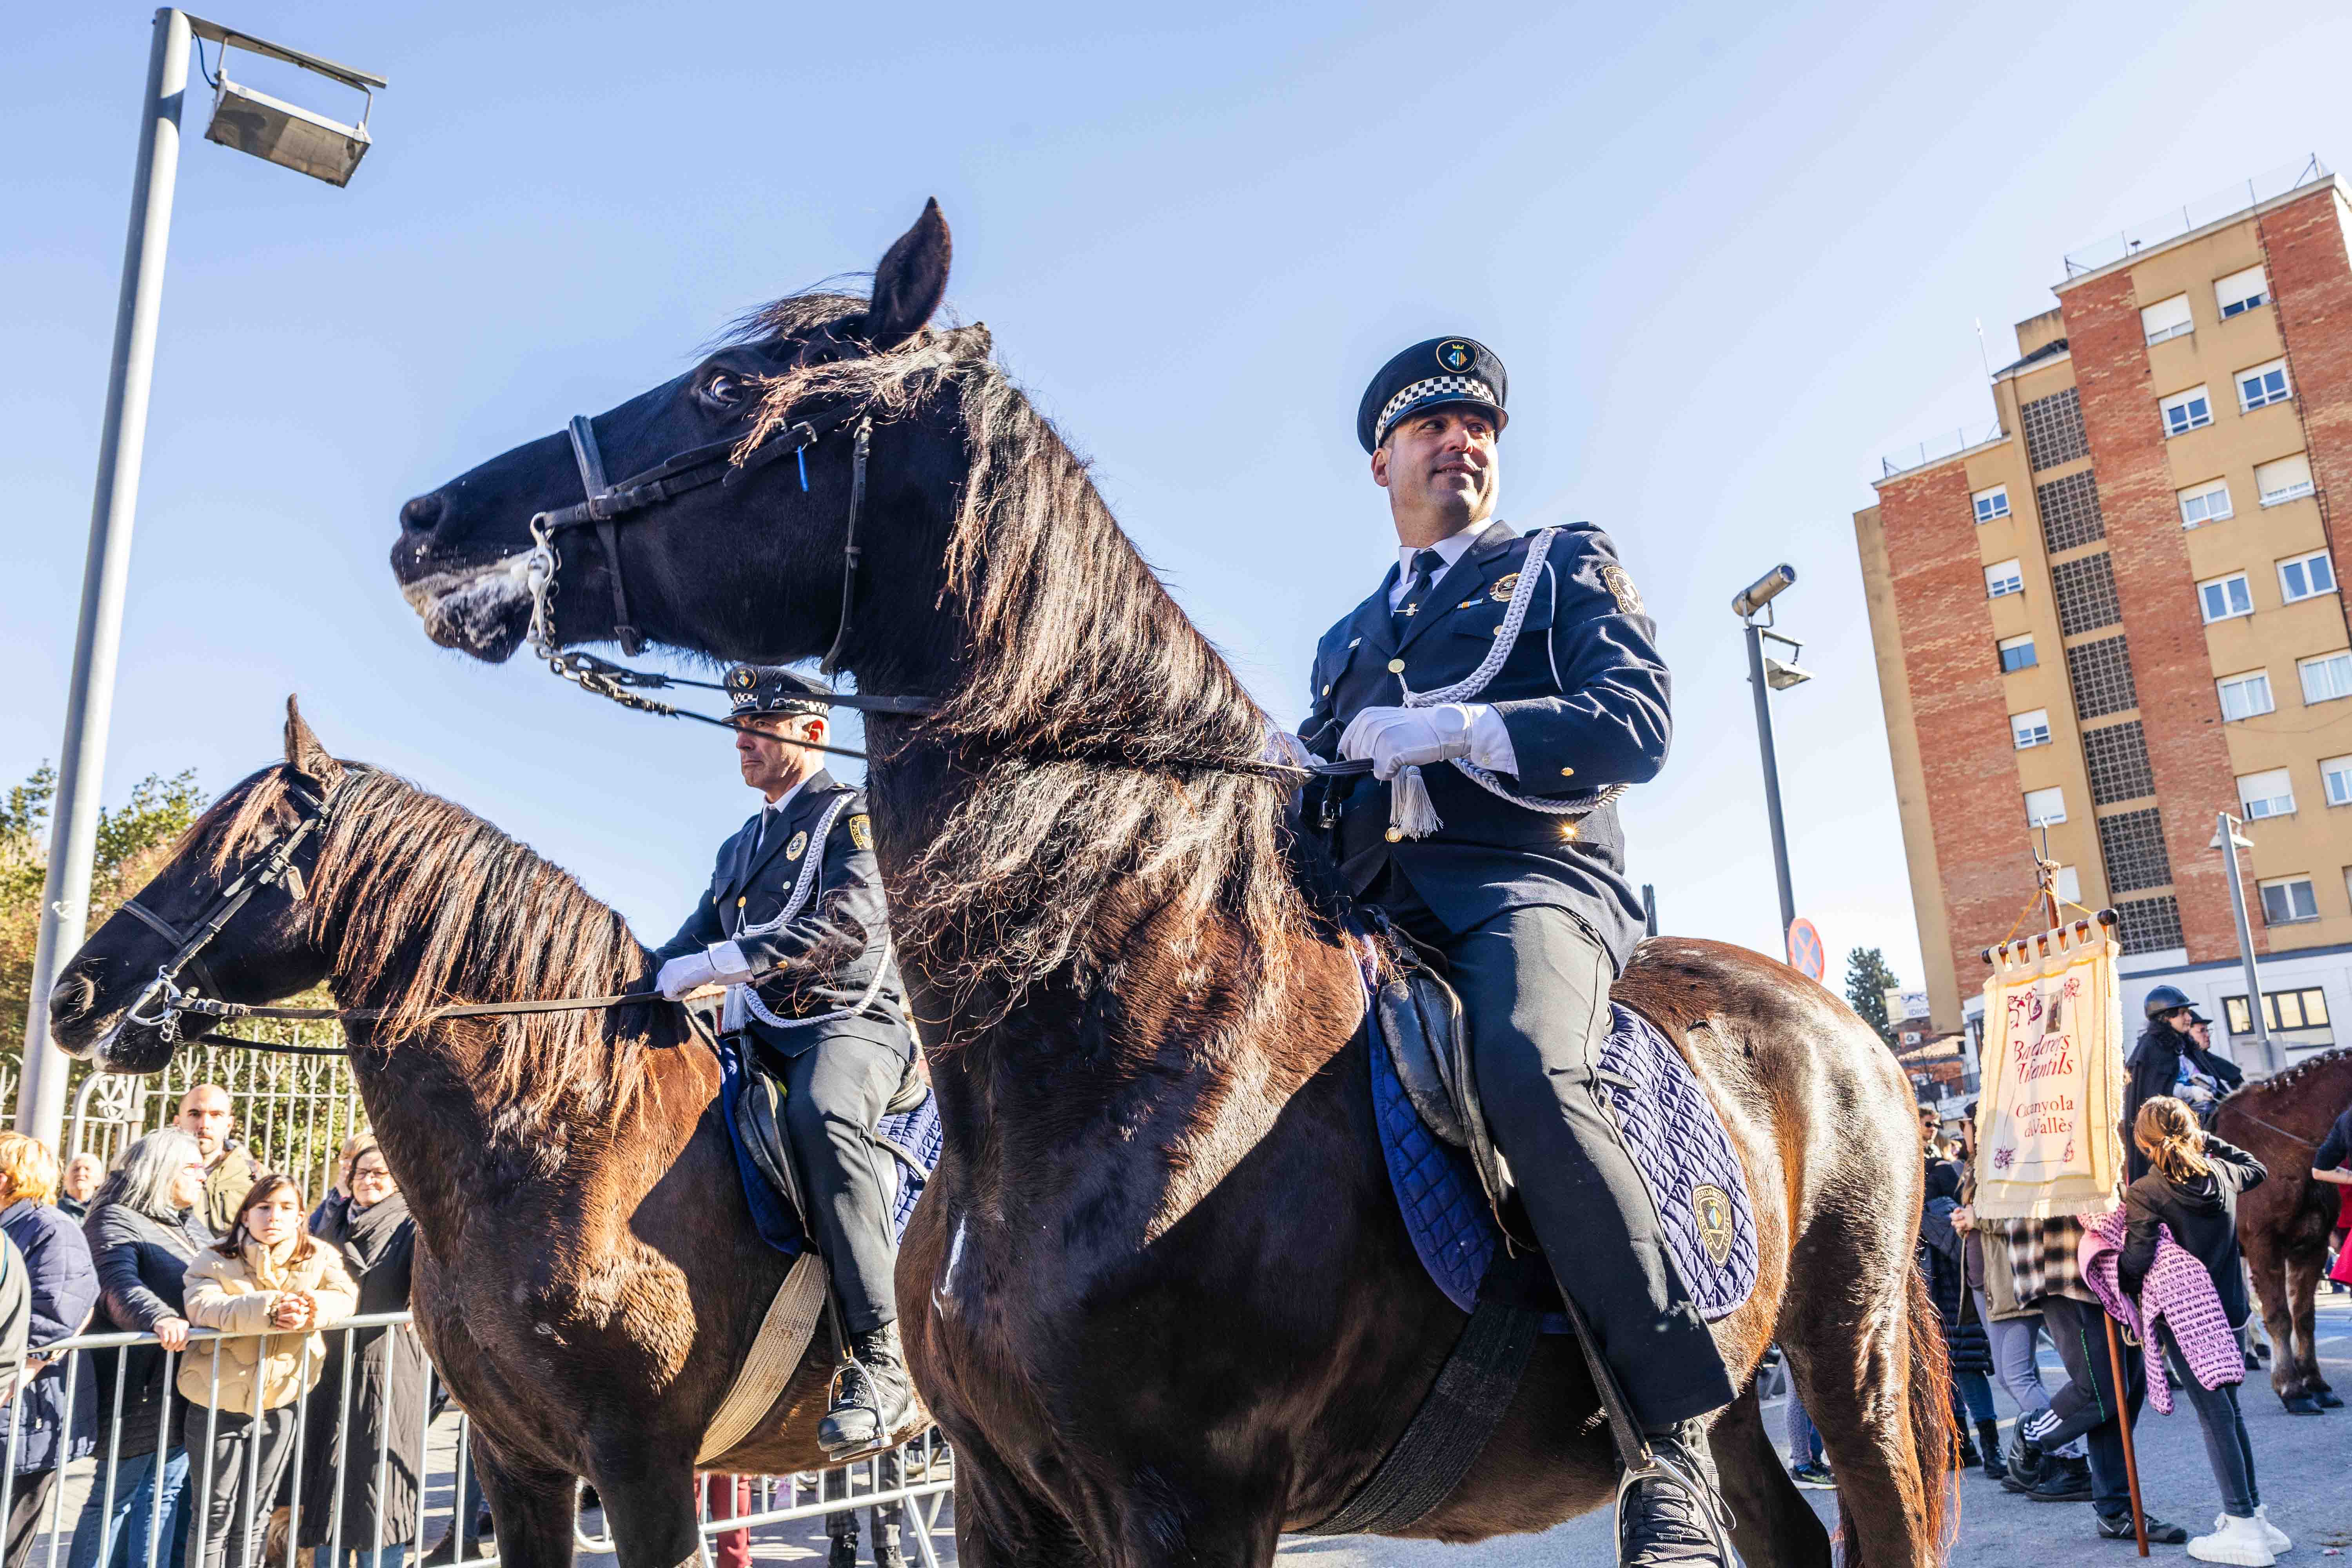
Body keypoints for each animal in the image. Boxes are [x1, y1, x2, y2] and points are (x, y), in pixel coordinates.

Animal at [395, 202, 1957, 1561]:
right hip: (1750, 1390)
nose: (432, 524)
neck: (1126, 1031)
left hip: (1851, 1356)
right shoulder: (1001, 1494)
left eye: (725, 386)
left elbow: (1612, 705)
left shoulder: (1188, 1500)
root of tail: (1837, 1025)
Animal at [2211, 1048, 2343, 1420]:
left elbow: (2304, 1316)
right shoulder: (2263, 1246)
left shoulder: (2312, 1245)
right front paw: (2292, 1389)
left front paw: (2316, 1383)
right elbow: (2279, 1316)